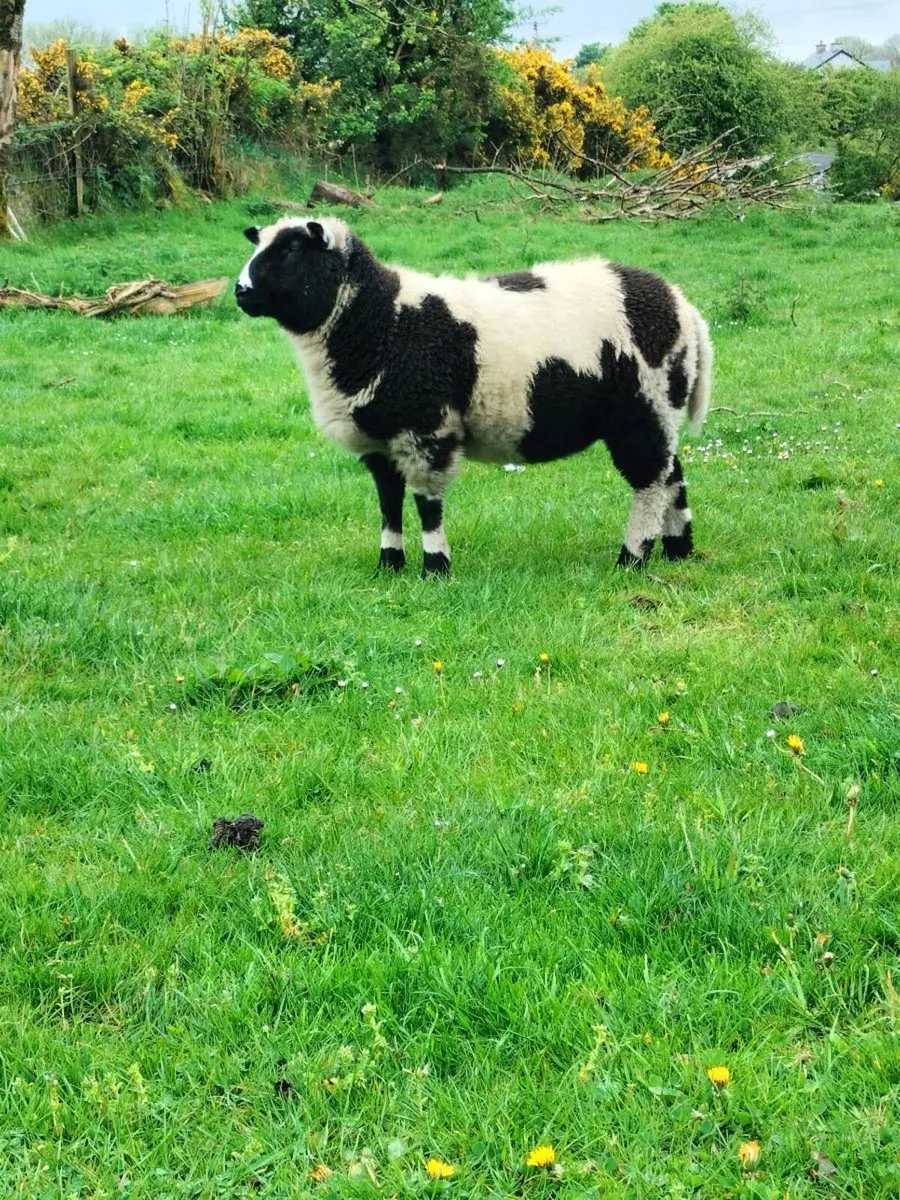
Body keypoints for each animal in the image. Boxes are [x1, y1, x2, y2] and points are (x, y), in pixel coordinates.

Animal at [235, 216, 712, 575]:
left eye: (292, 251)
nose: (240, 291)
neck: (382, 320)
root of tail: (685, 307)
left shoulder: (426, 428)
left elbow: (427, 504)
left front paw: (434, 569)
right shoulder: (380, 439)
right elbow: (388, 502)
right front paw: (388, 566)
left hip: (643, 405)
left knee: (650, 483)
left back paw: (632, 558)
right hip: (658, 409)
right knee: (673, 474)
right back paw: (679, 549)